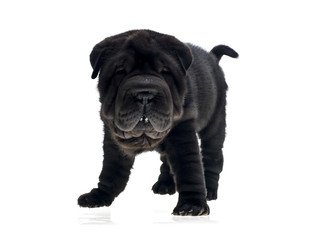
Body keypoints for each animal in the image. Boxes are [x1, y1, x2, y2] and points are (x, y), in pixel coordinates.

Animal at [77, 29, 238, 216]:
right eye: (120, 70)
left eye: (165, 70)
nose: (145, 95)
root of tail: (212, 57)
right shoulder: (114, 140)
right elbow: (110, 171)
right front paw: (99, 195)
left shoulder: (183, 134)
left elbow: (190, 169)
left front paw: (192, 205)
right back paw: (165, 184)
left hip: (215, 122)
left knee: (213, 156)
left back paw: (210, 190)